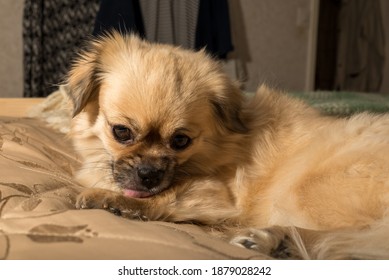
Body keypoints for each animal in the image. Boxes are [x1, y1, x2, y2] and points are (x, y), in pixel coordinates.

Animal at [66, 31, 388, 260]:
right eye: (121, 132)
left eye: (180, 141)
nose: (148, 175)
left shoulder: (214, 196)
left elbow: (163, 198)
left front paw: (113, 200)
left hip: (306, 188)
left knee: (346, 239)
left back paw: (273, 239)